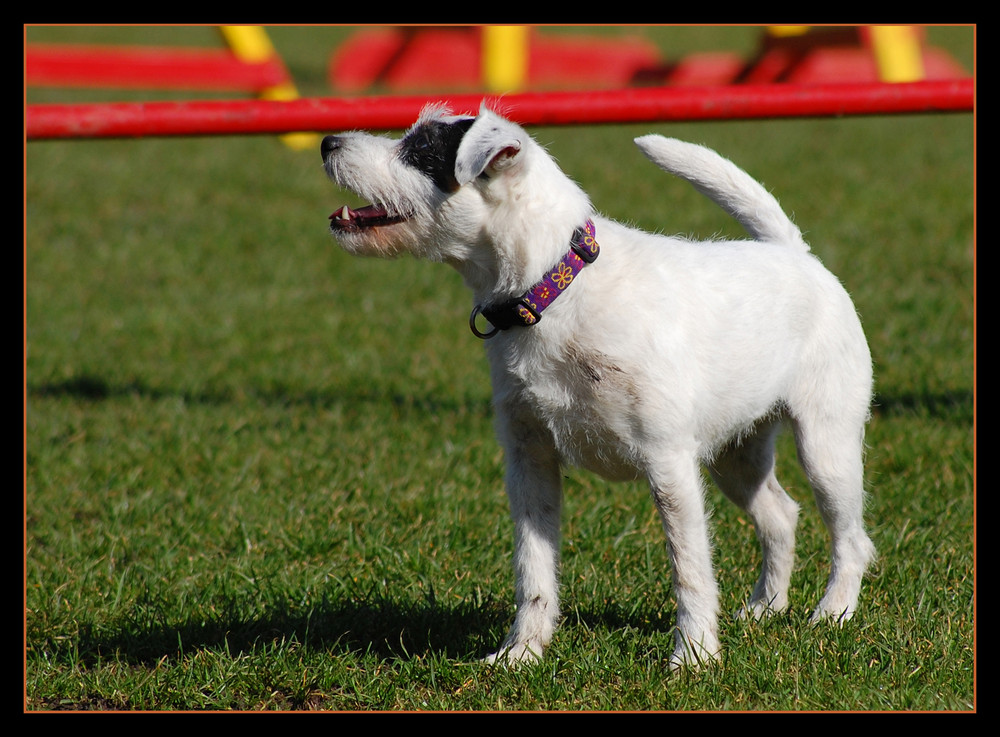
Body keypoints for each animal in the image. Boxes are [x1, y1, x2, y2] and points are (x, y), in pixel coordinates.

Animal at [322, 100, 876, 668]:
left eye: (419, 149)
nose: (327, 142)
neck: (554, 291)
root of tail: (795, 253)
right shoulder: (530, 462)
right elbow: (534, 569)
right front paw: (521, 653)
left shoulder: (669, 465)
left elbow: (690, 570)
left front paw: (694, 656)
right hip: (736, 457)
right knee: (781, 516)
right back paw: (766, 608)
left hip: (826, 448)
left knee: (851, 539)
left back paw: (832, 613)